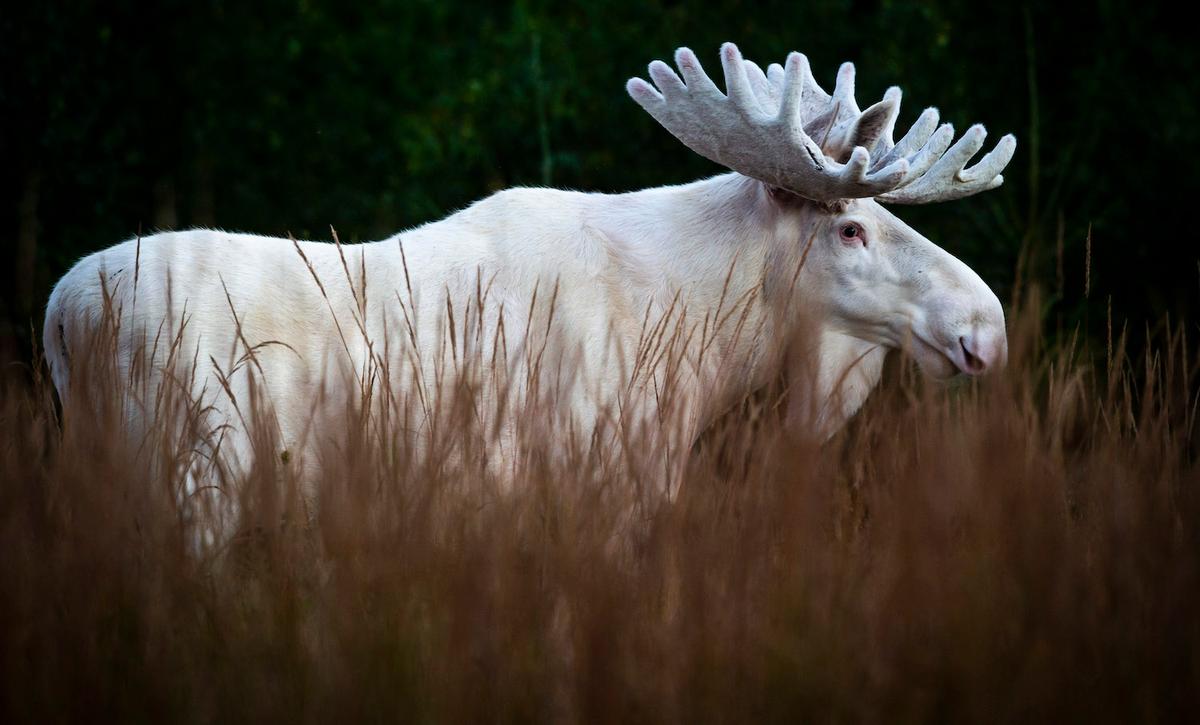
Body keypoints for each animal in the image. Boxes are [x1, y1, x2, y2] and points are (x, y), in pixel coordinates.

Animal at [44, 42, 1014, 501]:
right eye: (850, 228)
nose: (986, 325)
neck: (709, 336)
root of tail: (59, 316)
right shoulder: (605, 469)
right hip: (195, 465)